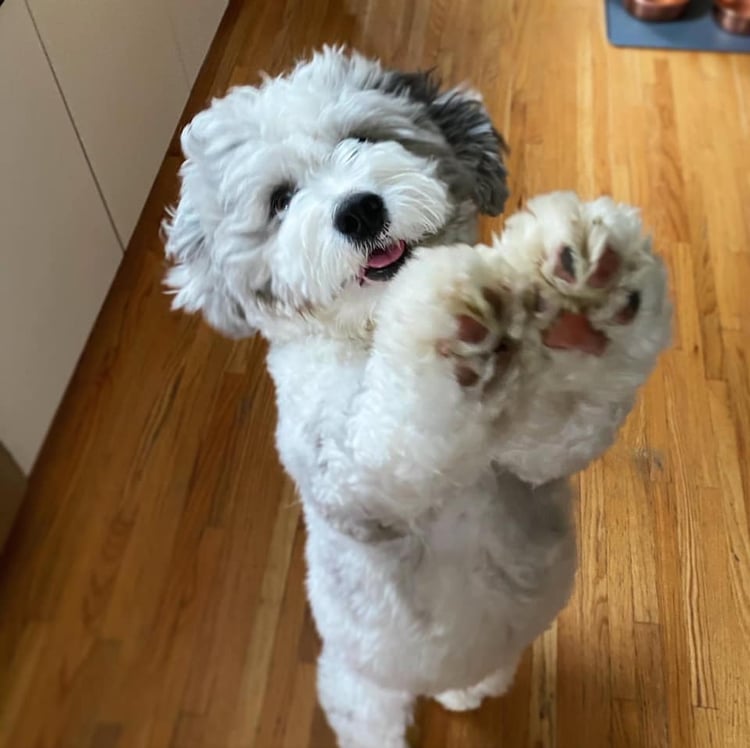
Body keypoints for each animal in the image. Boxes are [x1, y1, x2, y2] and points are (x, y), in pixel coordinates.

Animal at [162, 48, 672, 748]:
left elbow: (563, 417)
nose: (358, 211)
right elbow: (396, 429)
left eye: (363, 138)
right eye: (281, 199)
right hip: (361, 691)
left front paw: (590, 298)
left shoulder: (534, 460)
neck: (370, 330)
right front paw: (446, 313)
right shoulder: (350, 478)